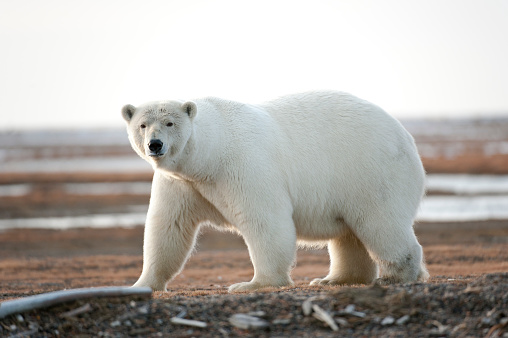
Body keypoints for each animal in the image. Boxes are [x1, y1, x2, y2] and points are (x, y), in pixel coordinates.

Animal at [123, 90, 428, 294]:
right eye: (142, 125)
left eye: (170, 123)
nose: (155, 144)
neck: (211, 155)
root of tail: (406, 136)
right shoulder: (182, 182)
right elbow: (168, 227)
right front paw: (141, 284)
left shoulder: (244, 166)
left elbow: (264, 221)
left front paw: (252, 284)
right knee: (349, 234)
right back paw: (334, 279)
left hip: (370, 171)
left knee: (379, 222)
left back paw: (396, 276)